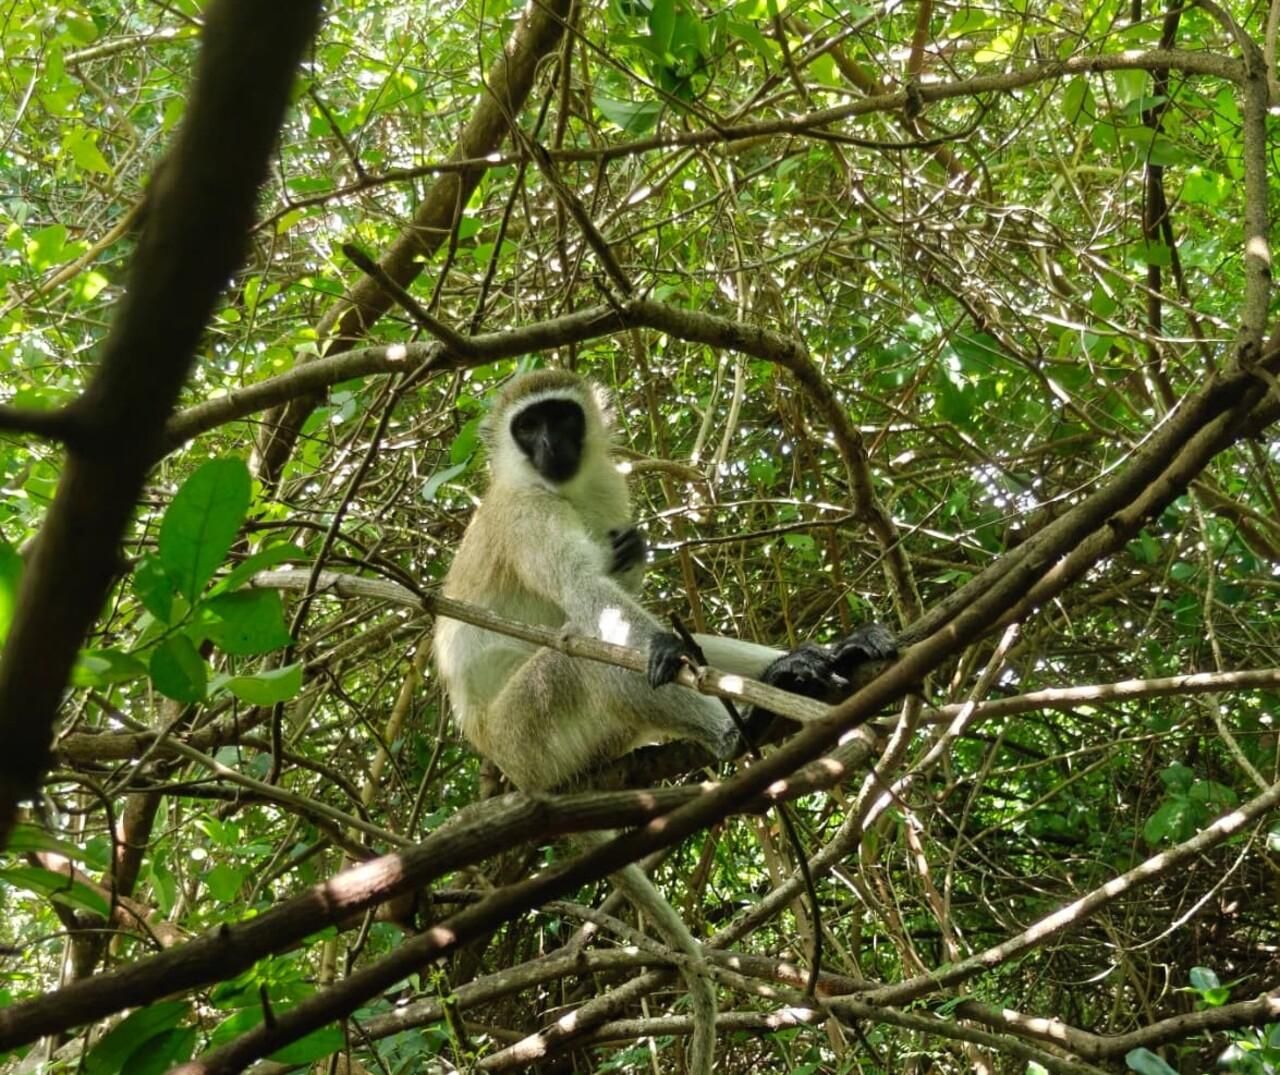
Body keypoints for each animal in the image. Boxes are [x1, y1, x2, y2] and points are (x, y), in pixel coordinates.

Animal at [433, 368, 895, 1072]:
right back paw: (738, 730)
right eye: (527, 426)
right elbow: (590, 599)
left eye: (561, 419)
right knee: (592, 659)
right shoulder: (525, 514)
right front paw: (674, 654)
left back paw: (803, 671)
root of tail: (505, 765)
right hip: (531, 732)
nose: (549, 445)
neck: (560, 485)